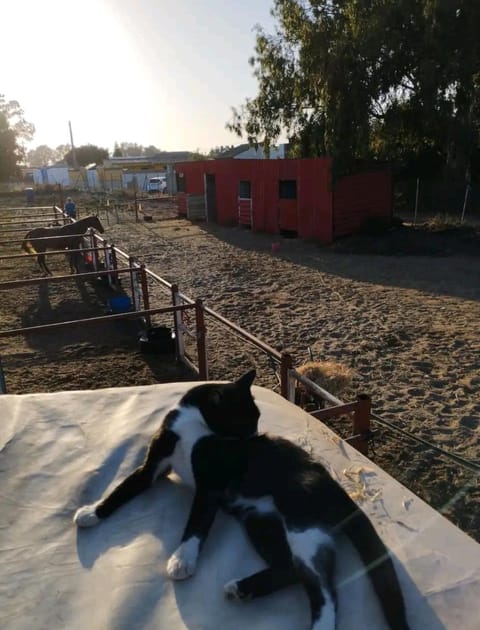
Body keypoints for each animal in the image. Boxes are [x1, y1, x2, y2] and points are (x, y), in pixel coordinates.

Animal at [74, 372, 408, 628]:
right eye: (249, 418)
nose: (256, 437)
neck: (192, 424)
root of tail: (340, 494)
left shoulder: (209, 487)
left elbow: (196, 522)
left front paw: (182, 559)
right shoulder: (153, 467)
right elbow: (123, 488)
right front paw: (92, 513)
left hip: (300, 524)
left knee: (325, 590)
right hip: (262, 523)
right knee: (290, 569)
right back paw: (241, 589)